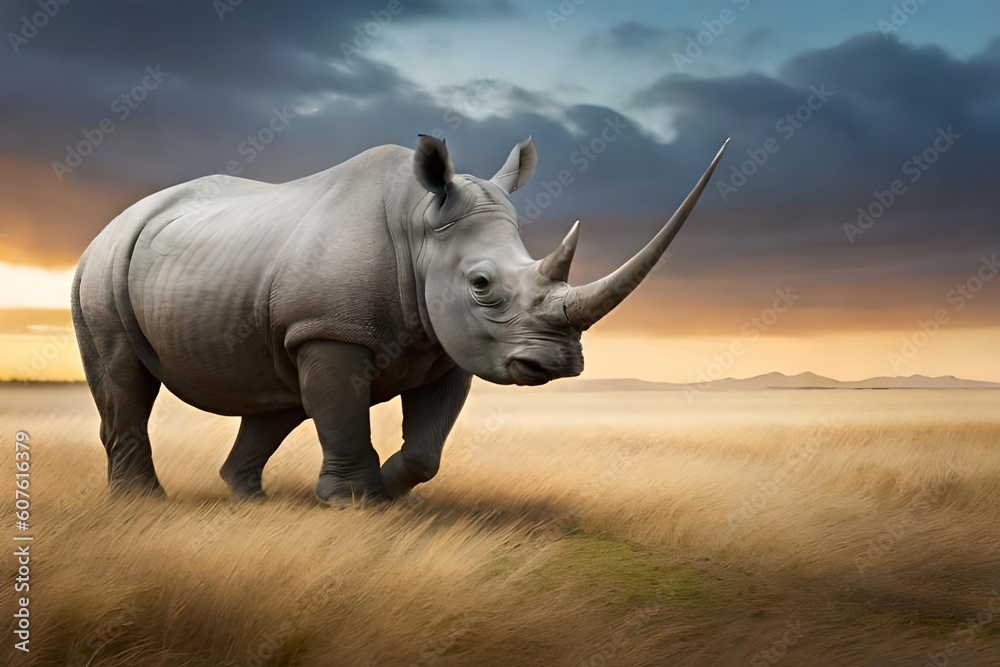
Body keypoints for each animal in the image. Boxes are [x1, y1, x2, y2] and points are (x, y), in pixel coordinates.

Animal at [71, 135, 727, 504]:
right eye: (482, 285)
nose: (560, 362)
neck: (420, 228)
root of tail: (107, 227)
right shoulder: (333, 329)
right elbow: (341, 412)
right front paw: (355, 505)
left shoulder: (452, 344)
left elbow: (426, 447)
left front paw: (386, 493)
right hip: (101, 269)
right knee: (125, 375)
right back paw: (143, 506)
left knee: (277, 391)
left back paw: (248, 498)